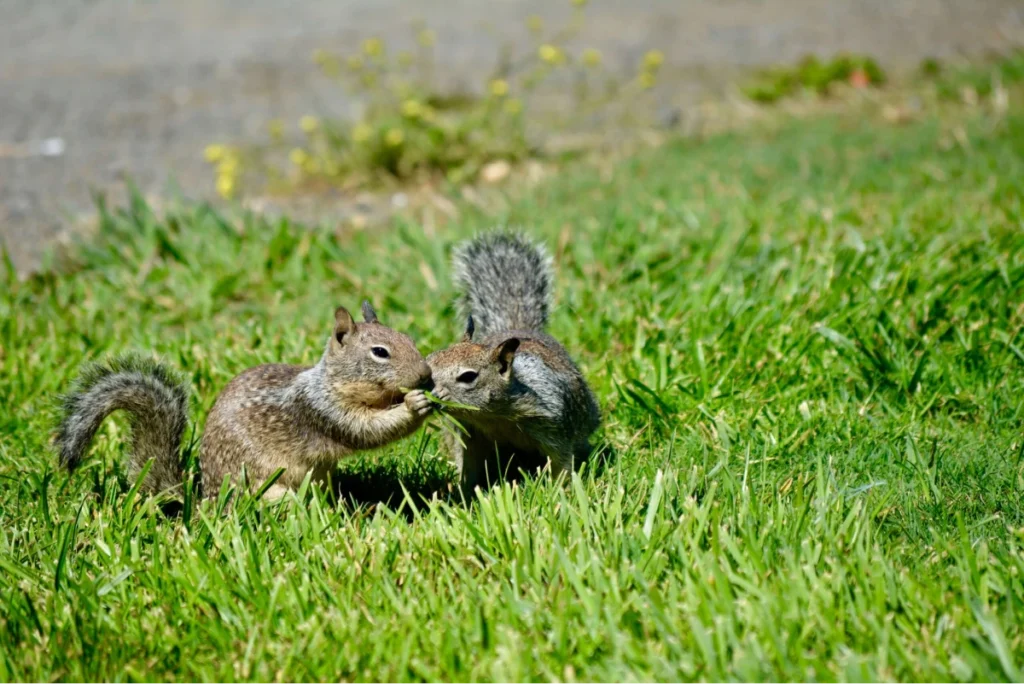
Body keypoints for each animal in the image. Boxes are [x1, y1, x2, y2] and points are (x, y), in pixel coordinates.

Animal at [56, 302, 434, 501]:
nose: (426, 376)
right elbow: (368, 430)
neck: (330, 382)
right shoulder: (324, 411)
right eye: (380, 352)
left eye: (408, 338)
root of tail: (204, 503)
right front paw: (415, 405)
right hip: (269, 490)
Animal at [427, 230, 600, 497]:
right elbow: (469, 468)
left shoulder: (554, 425)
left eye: (468, 376)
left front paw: (561, 492)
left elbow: (561, 462)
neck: (493, 416)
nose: (432, 394)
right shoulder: (469, 435)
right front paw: (461, 494)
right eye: (429, 361)